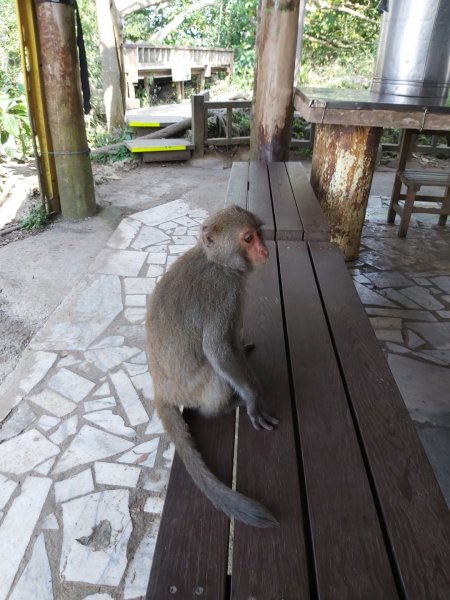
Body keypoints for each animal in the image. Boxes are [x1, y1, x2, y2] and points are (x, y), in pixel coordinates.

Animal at [146, 204, 278, 528]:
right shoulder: (224, 292)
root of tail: (160, 389)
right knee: (215, 375)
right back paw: (223, 408)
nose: (264, 249)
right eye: (247, 238)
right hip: (191, 389)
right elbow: (218, 349)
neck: (216, 261)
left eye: (258, 233)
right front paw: (253, 399)